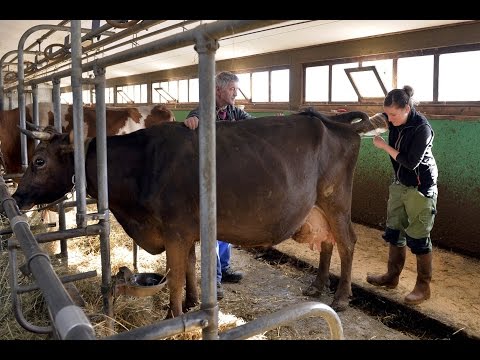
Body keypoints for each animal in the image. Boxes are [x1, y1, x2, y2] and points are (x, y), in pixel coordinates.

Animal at [11, 110, 388, 318]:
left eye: (40, 160)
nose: (16, 196)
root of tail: (335, 120)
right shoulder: (185, 230)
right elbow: (190, 268)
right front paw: (192, 304)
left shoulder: (175, 229)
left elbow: (175, 276)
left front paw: (174, 313)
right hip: (317, 208)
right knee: (327, 243)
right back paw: (317, 286)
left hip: (335, 200)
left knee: (347, 242)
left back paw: (340, 298)